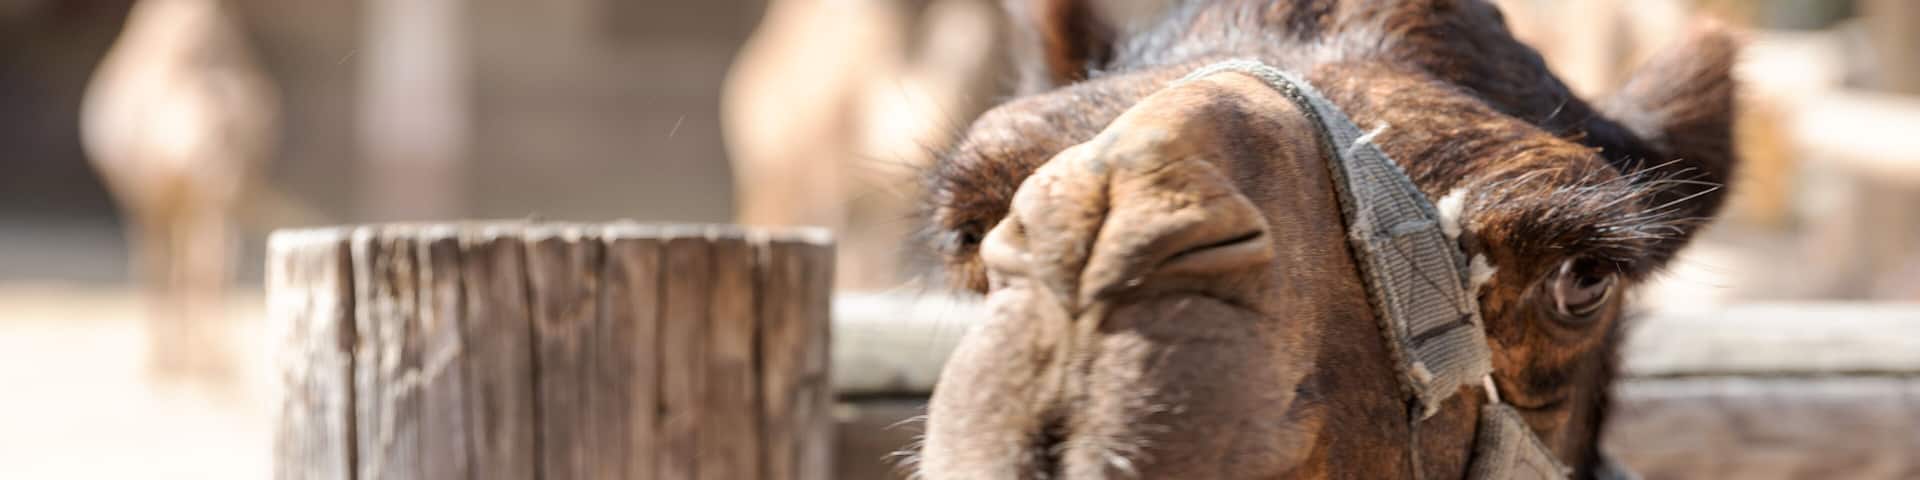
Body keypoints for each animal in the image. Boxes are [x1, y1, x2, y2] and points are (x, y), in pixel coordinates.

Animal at [81, 0, 277, 381]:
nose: (229, 173)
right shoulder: (163, 198)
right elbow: (172, 263)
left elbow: (182, 264)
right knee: (191, 260)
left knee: (193, 261)